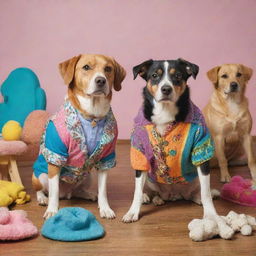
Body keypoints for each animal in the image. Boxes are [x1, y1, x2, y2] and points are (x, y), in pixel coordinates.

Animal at [32, 53, 126, 218]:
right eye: (86, 67)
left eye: (108, 69)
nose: (101, 80)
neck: (92, 115)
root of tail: (65, 194)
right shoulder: (56, 156)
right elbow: (54, 192)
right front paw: (52, 210)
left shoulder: (106, 158)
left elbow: (103, 191)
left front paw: (105, 208)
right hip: (41, 176)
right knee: (44, 190)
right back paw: (43, 198)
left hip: (87, 176)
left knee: (76, 191)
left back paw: (87, 194)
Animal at [123, 58, 235, 242]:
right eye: (154, 76)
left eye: (177, 76)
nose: (166, 89)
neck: (165, 112)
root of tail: (174, 195)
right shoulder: (140, 152)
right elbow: (137, 190)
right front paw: (133, 211)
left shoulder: (201, 151)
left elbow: (206, 193)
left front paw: (211, 215)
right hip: (151, 179)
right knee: (147, 187)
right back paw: (152, 198)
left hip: (195, 179)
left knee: (200, 191)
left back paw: (197, 197)